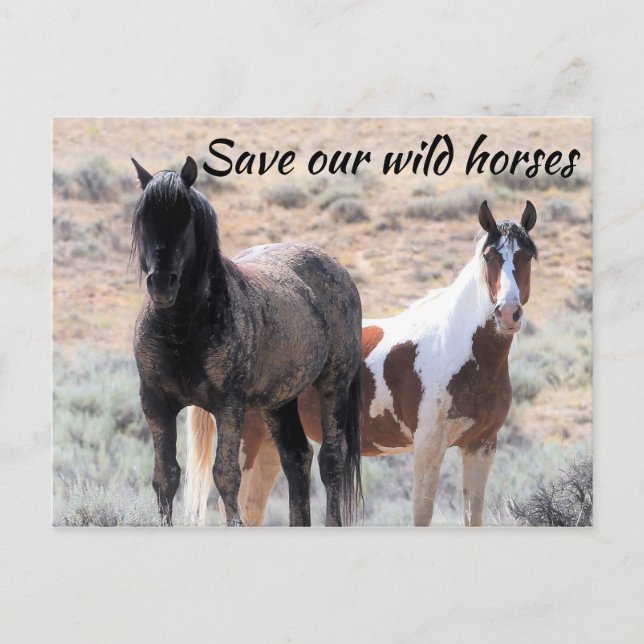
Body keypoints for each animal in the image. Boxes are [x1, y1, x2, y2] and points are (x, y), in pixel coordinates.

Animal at [130, 156, 363, 527]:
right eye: (143, 217)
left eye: (185, 217)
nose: (162, 283)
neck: (182, 329)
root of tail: (337, 269)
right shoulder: (155, 403)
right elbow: (165, 476)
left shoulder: (228, 406)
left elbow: (226, 476)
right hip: (278, 403)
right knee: (297, 457)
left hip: (333, 385)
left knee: (331, 461)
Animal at [185, 200, 538, 527]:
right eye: (489, 256)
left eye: (528, 256)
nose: (508, 313)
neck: (459, 347)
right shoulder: (429, 447)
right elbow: (421, 516)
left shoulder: (481, 447)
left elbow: (472, 518)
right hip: (248, 439)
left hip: (270, 445)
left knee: (254, 508)